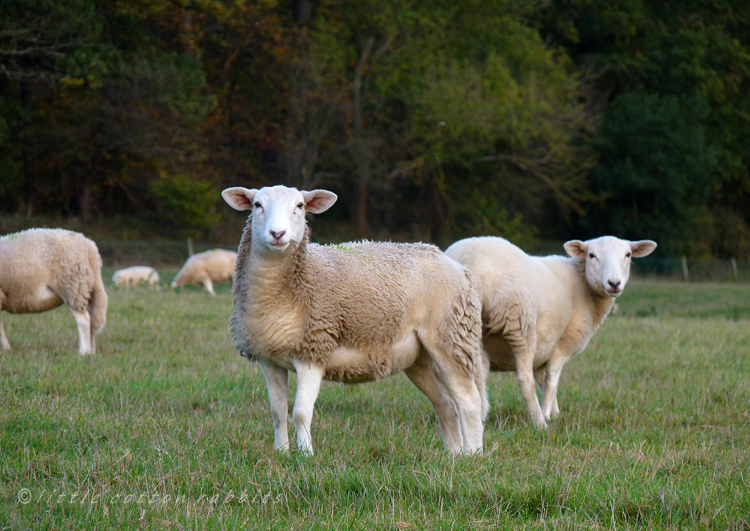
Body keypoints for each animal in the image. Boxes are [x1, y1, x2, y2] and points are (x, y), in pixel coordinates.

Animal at [0, 228, 108, 356]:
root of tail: (90, 247)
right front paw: (6, 348)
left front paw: (5, 348)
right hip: (84, 286)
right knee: (90, 319)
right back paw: (91, 352)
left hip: (72, 286)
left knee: (84, 320)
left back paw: (83, 352)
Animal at [220, 185, 488, 456]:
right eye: (257, 205)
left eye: (299, 206)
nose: (277, 234)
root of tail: (455, 264)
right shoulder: (268, 358)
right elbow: (277, 412)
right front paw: (282, 453)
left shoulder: (313, 350)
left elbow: (301, 413)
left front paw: (306, 456)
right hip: (418, 356)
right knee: (445, 403)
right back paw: (452, 455)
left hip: (451, 336)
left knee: (469, 402)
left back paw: (471, 455)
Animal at [446, 235, 656, 430]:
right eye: (591, 255)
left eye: (628, 255)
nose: (614, 283)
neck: (581, 283)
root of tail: (470, 261)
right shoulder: (562, 345)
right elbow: (552, 380)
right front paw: (547, 413)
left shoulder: (543, 353)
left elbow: (543, 381)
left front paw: (555, 413)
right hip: (520, 325)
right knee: (525, 380)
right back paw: (539, 424)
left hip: (462, 330)